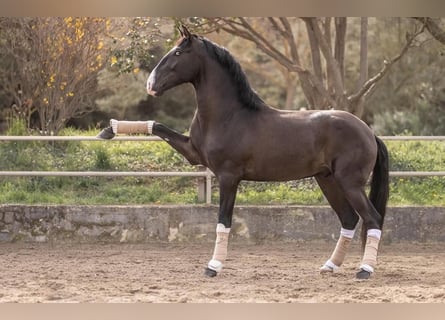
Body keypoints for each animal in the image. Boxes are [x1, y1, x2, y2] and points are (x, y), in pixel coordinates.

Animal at [125, 25, 388, 280]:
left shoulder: (228, 177)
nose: (150, 85)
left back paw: (365, 270)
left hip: (349, 183)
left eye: (178, 53)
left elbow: (223, 221)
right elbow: (158, 127)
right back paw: (330, 266)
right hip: (328, 180)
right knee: (349, 219)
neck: (230, 116)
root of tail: (369, 132)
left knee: (372, 218)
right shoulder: (193, 154)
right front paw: (116, 128)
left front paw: (213, 266)